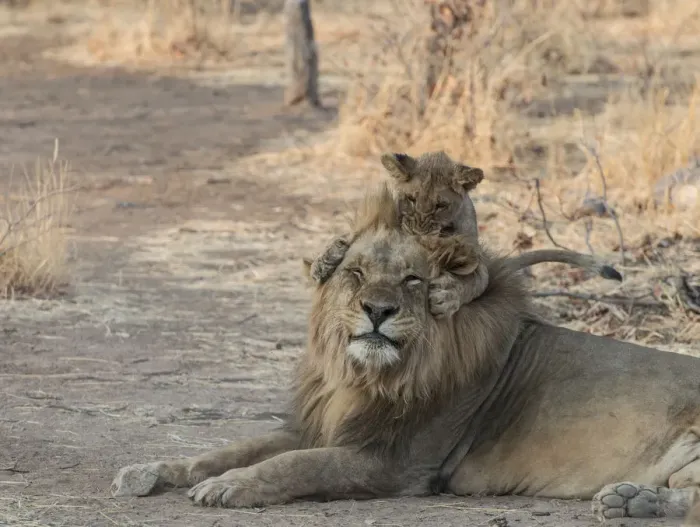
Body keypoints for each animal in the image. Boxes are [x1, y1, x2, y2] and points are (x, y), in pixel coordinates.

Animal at [112, 182, 700, 524]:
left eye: (413, 280)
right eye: (356, 273)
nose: (377, 310)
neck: (367, 376)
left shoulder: (396, 462)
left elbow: (295, 465)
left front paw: (228, 487)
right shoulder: (321, 425)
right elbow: (230, 449)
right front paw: (150, 470)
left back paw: (630, 500)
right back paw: (633, 500)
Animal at [311, 150, 621, 318]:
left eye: (440, 206)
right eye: (410, 199)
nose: (418, 231)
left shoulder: (476, 263)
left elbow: (470, 282)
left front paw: (447, 296)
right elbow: (347, 240)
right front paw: (324, 261)